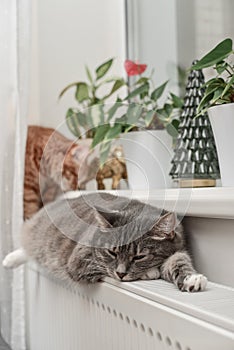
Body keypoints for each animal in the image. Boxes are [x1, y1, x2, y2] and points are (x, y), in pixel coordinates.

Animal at [3, 193, 207, 292]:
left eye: (139, 256)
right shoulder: (79, 260)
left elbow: (178, 261)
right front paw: (151, 272)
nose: (121, 274)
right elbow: (103, 266)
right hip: (36, 233)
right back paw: (9, 260)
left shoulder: (178, 248)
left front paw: (191, 278)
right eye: (112, 252)